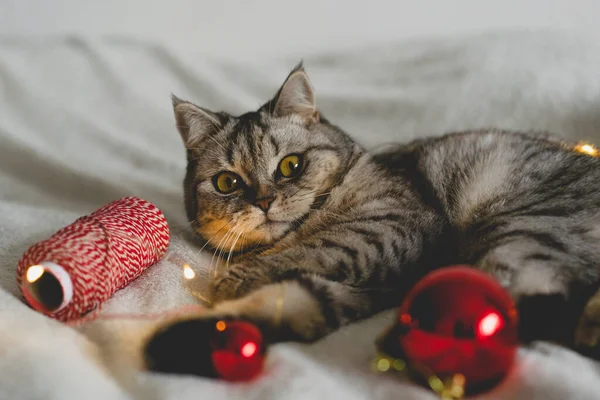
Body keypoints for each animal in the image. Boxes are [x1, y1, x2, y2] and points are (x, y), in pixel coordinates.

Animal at [143, 61, 600, 372]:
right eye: (227, 183)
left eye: (290, 166)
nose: (265, 202)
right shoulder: (363, 287)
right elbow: (296, 304)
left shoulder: (389, 228)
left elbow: (308, 252)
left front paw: (229, 282)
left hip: (523, 228)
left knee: (517, 304)